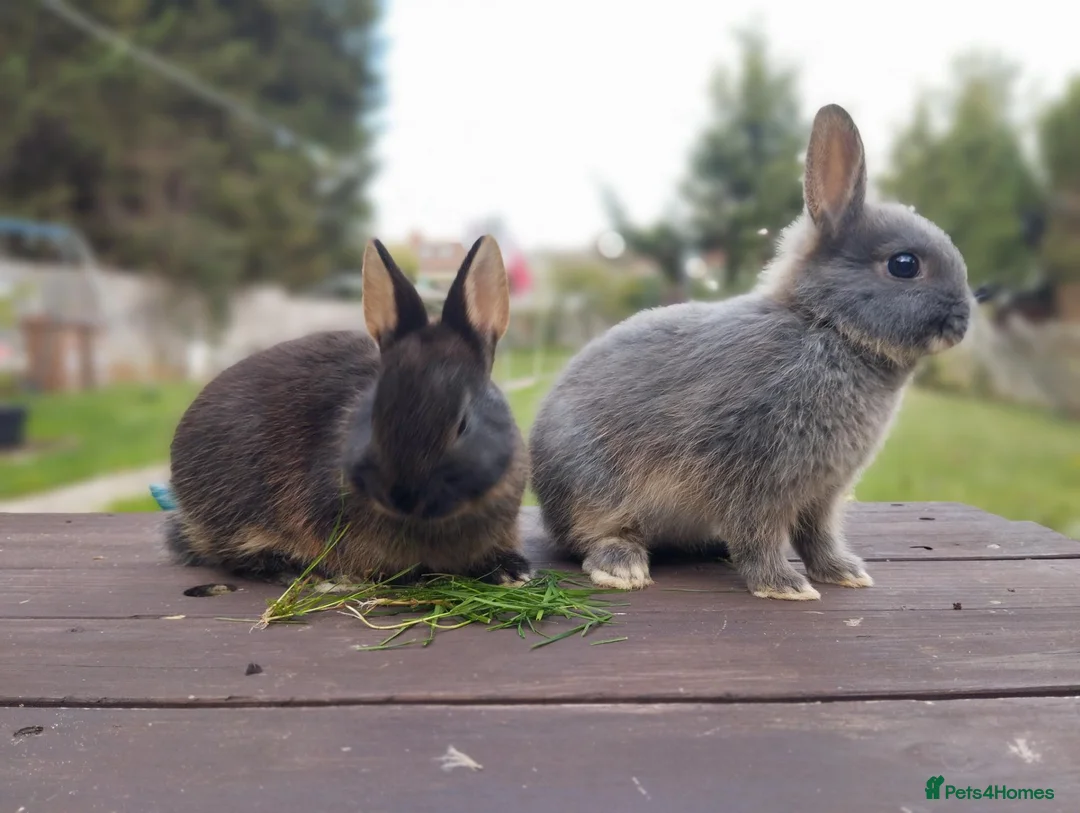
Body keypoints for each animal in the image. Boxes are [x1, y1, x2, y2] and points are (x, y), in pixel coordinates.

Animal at [528, 103, 973, 600]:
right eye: (904, 265)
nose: (963, 321)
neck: (826, 327)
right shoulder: (756, 476)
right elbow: (758, 534)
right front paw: (784, 587)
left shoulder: (822, 493)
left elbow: (818, 536)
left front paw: (844, 573)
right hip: (593, 485)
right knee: (596, 534)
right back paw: (622, 567)